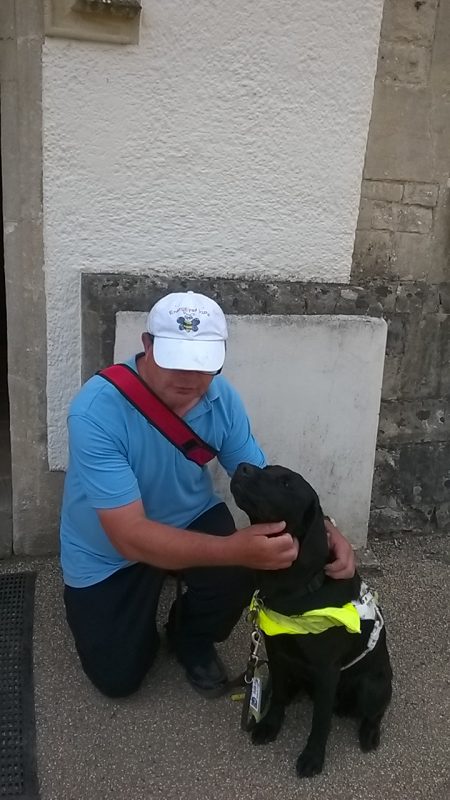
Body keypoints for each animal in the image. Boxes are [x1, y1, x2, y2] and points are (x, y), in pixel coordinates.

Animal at [230, 466, 392, 780]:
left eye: (286, 483)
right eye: (265, 469)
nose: (243, 466)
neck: (293, 587)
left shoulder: (326, 670)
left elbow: (320, 722)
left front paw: (313, 757)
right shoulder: (277, 652)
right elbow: (279, 696)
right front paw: (270, 725)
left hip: (373, 687)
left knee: (373, 713)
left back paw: (369, 734)